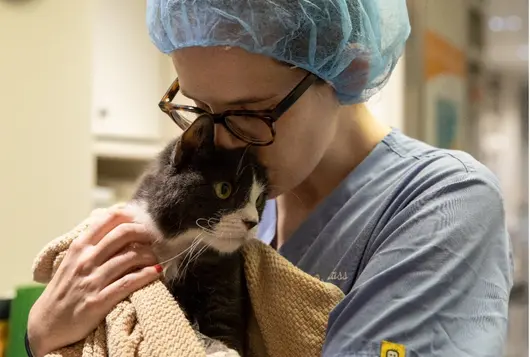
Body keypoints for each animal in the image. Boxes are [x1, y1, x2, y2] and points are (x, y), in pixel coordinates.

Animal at [126, 115, 266, 354]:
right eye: (224, 189)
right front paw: (221, 351)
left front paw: (225, 349)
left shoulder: (225, 281)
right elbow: (184, 324)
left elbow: (223, 324)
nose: (252, 222)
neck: (178, 246)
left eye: (258, 201)